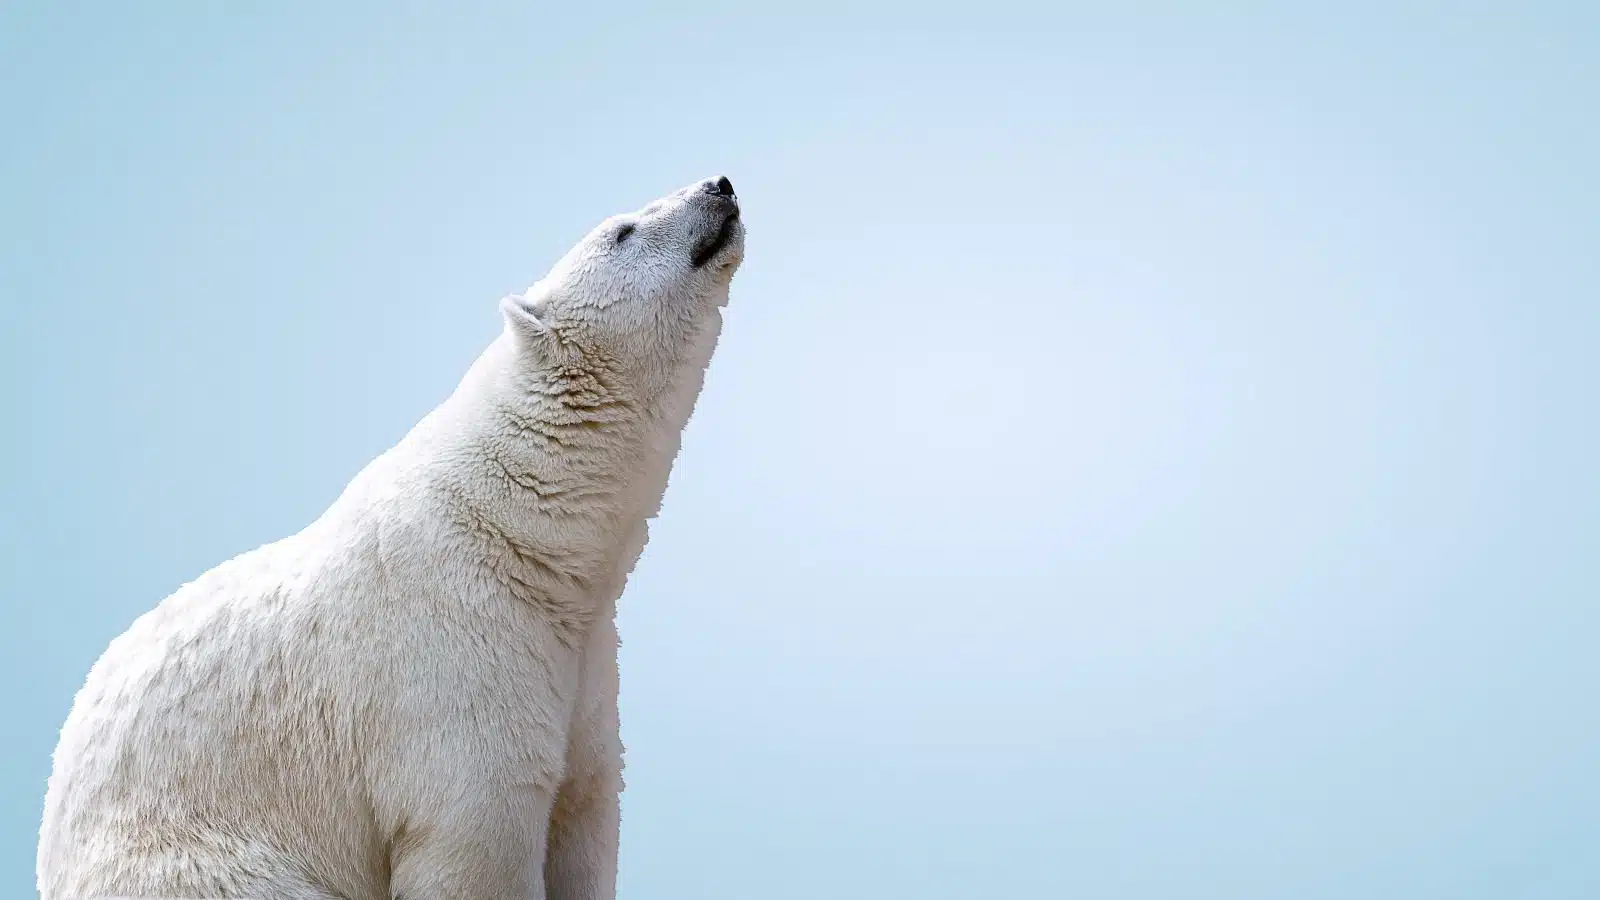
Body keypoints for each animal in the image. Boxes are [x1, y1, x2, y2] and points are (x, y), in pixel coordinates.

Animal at [36, 175, 748, 896]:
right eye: (622, 231)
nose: (718, 184)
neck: (520, 533)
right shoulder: (454, 657)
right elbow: (478, 839)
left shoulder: (584, 674)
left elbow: (583, 817)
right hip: (205, 863)